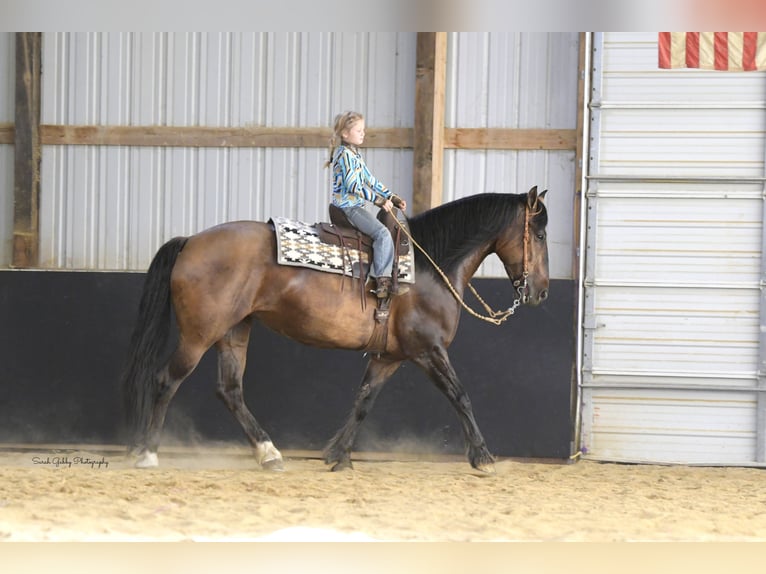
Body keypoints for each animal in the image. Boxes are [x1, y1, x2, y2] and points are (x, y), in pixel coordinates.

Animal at [121, 187, 549, 473]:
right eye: (541, 233)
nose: (541, 292)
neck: (430, 268)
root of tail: (191, 241)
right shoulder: (428, 350)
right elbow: (460, 396)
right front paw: (483, 456)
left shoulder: (390, 356)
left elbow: (364, 400)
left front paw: (338, 455)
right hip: (199, 334)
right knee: (166, 380)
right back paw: (148, 452)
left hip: (234, 330)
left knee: (229, 390)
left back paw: (269, 453)